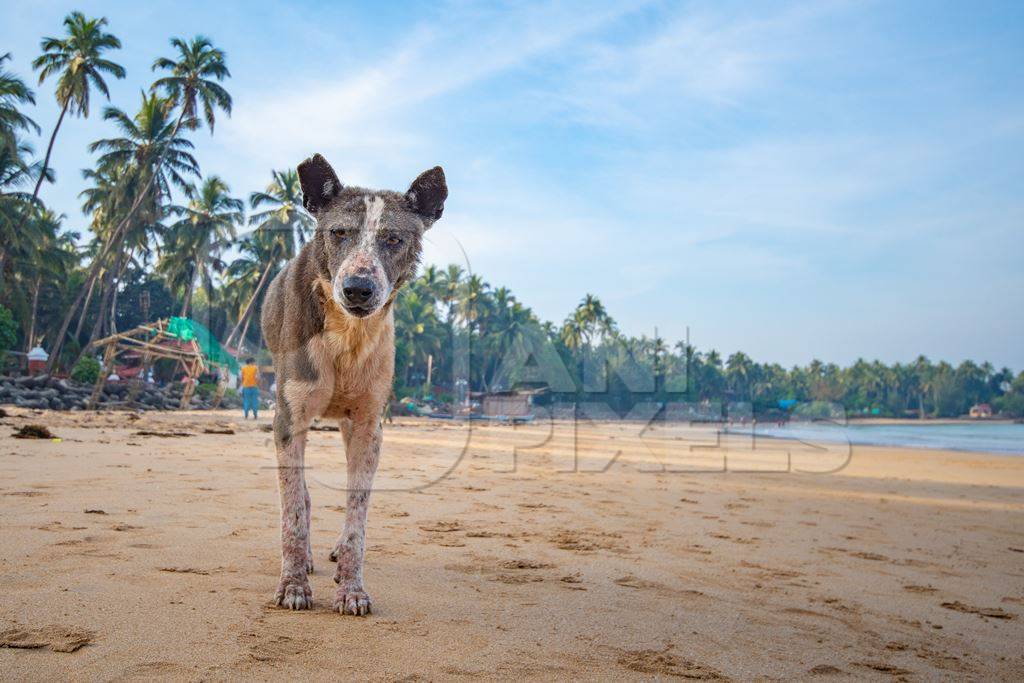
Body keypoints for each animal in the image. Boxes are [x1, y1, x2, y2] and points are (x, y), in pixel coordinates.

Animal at [260, 153, 444, 614]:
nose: (358, 289)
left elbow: (358, 509)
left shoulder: (367, 425)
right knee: (303, 495)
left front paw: (352, 587)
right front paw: (293, 584)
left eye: (393, 239)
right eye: (339, 233)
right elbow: (293, 508)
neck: (348, 334)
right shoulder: (288, 419)